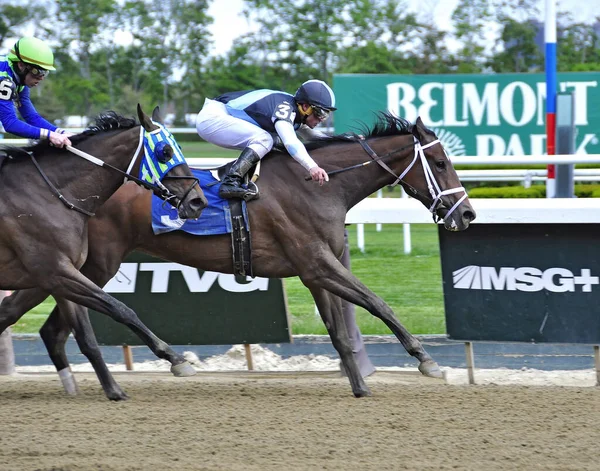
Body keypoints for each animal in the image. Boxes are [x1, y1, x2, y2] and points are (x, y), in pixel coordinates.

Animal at [0, 103, 209, 398]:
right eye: (165, 152)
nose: (197, 201)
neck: (49, 194)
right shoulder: (56, 272)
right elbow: (121, 309)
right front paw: (176, 359)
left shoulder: (62, 274)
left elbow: (86, 335)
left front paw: (113, 389)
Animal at [39, 112, 476, 400]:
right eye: (441, 162)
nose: (468, 214)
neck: (319, 187)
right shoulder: (318, 265)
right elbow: (377, 302)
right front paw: (426, 360)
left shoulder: (315, 272)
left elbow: (339, 331)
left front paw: (359, 386)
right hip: (93, 265)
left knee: (52, 327)